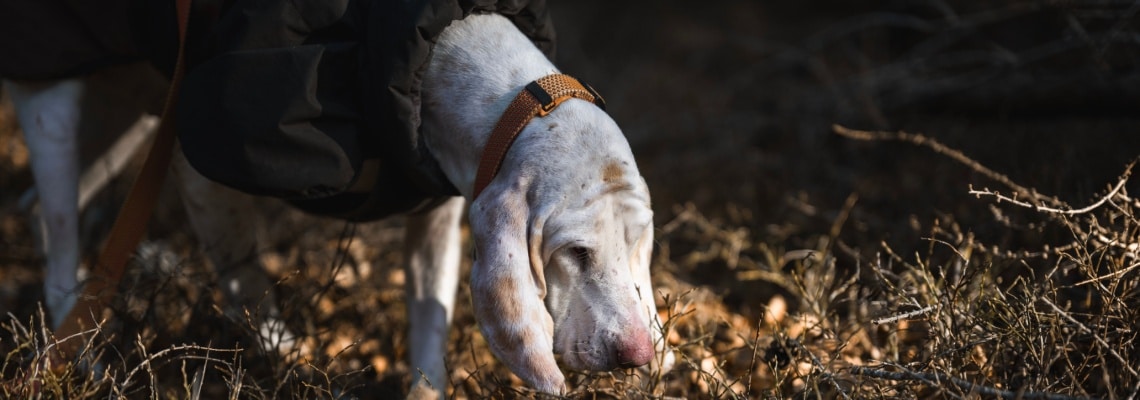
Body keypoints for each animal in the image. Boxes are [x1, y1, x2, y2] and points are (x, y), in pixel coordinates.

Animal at [4, 10, 670, 396]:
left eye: (641, 244)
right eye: (575, 253)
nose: (639, 353)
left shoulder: (438, 219)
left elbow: (429, 330)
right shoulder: (202, 171)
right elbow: (248, 285)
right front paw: (285, 355)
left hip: (134, 119)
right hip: (56, 107)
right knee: (58, 239)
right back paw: (80, 363)